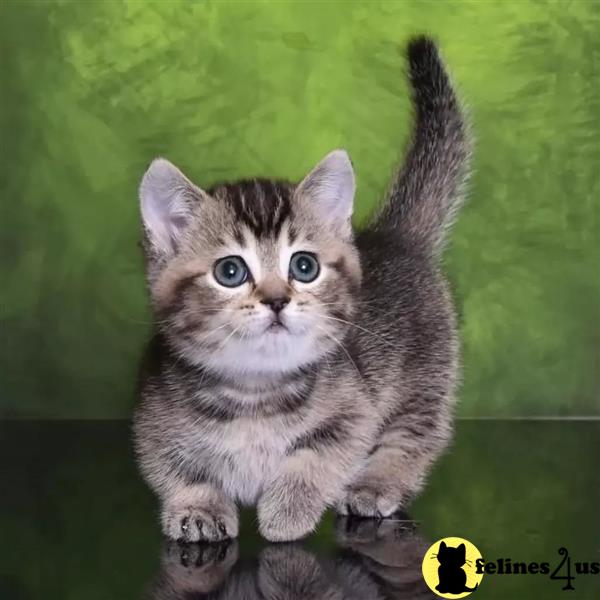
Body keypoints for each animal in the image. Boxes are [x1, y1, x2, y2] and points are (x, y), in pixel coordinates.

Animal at [134, 37, 472, 544]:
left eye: (305, 266)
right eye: (230, 271)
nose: (277, 300)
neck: (254, 395)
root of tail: (393, 236)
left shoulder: (354, 411)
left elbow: (314, 460)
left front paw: (285, 514)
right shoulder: (151, 420)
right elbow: (178, 470)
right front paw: (198, 508)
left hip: (423, 376)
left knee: (413, 436)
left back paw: (376, 484)